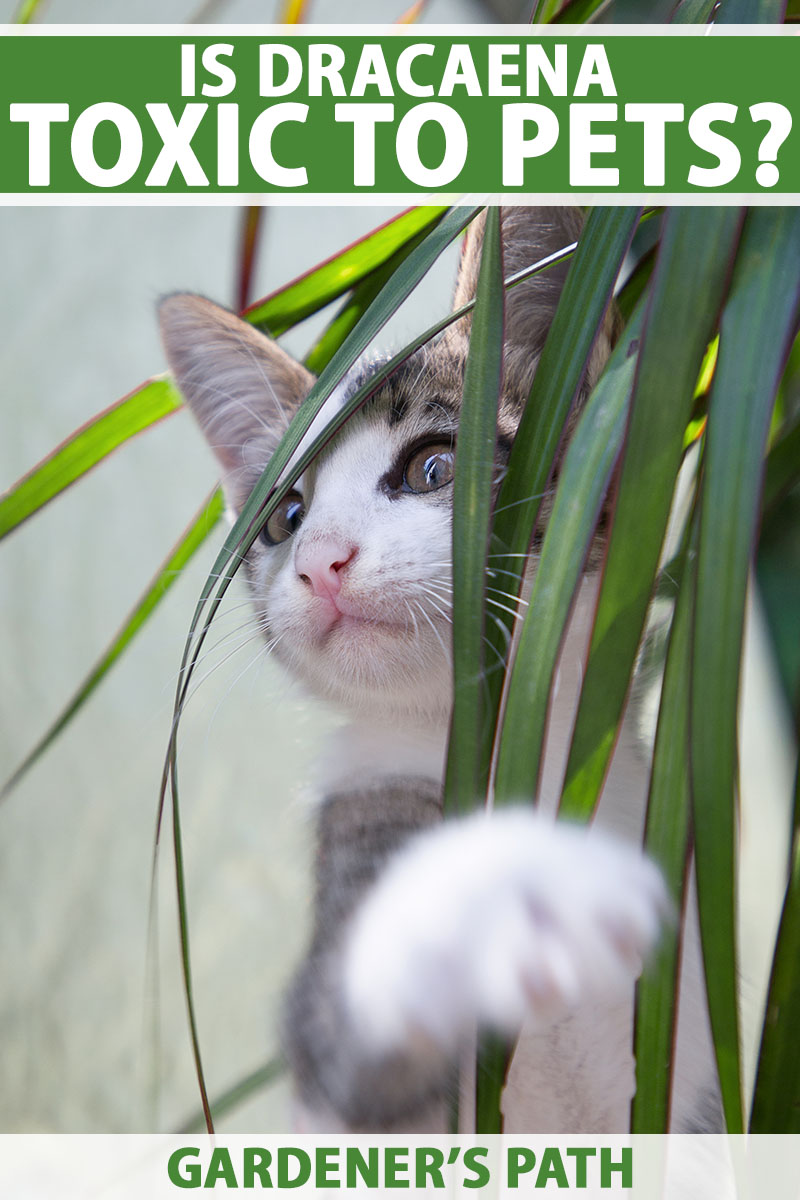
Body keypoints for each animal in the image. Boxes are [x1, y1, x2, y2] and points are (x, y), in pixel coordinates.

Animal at [158, 206, 714, 1132]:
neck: (503, 737)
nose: (321, 559)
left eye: (433, 468)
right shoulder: (337, 1067)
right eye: (285, 517)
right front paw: (507, 885)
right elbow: (362, 1012)